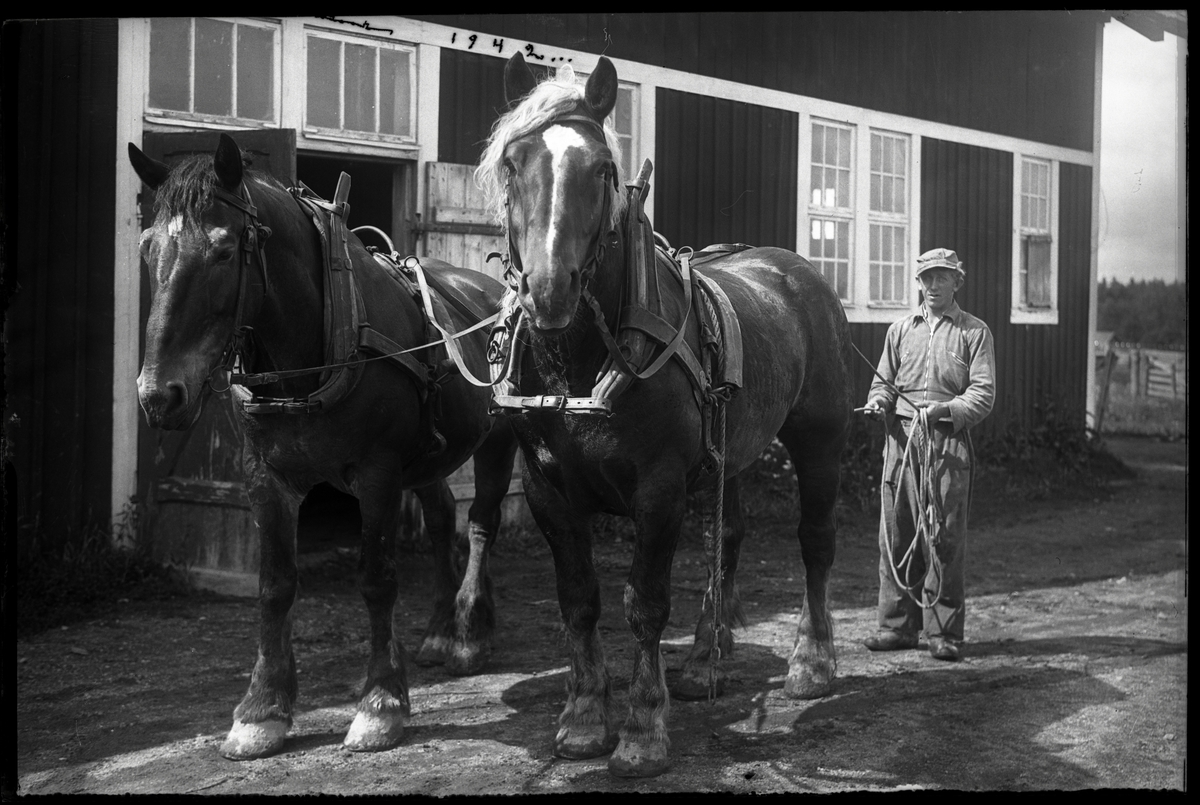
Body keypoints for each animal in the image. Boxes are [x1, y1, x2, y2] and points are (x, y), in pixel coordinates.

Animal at [128, 133, 517, 759]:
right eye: (146, 249)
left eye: (224, 251)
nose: (160, 395)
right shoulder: (266, 477)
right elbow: (275, 586)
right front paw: (262, 709)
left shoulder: (378, 474)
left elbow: (377, 579)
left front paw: (381, 703)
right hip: (428, 458)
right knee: (439, 522)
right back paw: (439, 630)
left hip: (498, 441)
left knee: (481, 524)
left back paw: (469, 631)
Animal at [478, 53, 853, 778]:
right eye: (512, 163)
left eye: (602, 169)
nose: (549, 290)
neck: (583, 361)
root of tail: (796, 272)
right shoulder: (547, 490)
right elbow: (579, 601)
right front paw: (583, 717)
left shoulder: (658, 487)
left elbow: (645, 605)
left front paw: (643, 727)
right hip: (730, 449)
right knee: (727, 537)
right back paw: (706, 656)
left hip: (820, 438)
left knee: (814, 541)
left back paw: (812, 661)